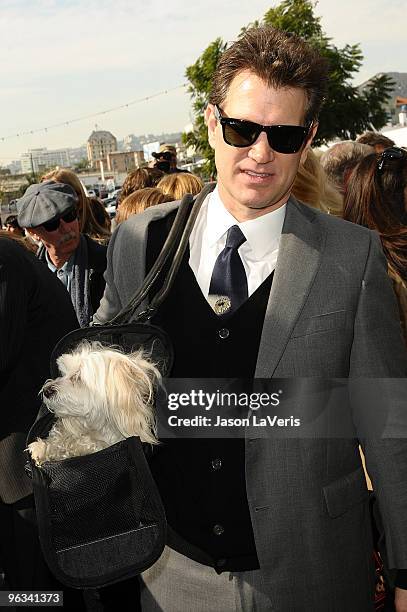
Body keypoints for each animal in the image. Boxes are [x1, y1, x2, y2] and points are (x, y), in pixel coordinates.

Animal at [28, 342, 159, 466]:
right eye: (63, 373)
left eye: (77, 377)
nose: (46, 390)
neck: (95, 427)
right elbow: (60, 437)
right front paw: (43, 448)